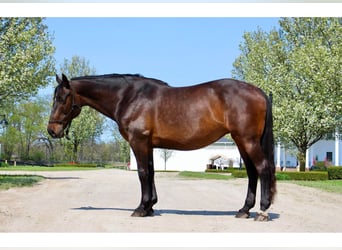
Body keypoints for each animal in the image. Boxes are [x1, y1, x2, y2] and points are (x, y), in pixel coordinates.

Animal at [48, 73, 276, 222]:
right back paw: (244, 210)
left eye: (62, 98)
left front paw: (141, 208)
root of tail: (259, 92)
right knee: (252, 172)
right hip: (241, 141)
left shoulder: (138, 141)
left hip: (247, 140)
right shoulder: (148, 144)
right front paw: (150, 206)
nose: (52, 130)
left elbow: (142, 173)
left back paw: (262, 211)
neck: (129, 96)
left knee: (263, 168)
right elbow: (151, 172)